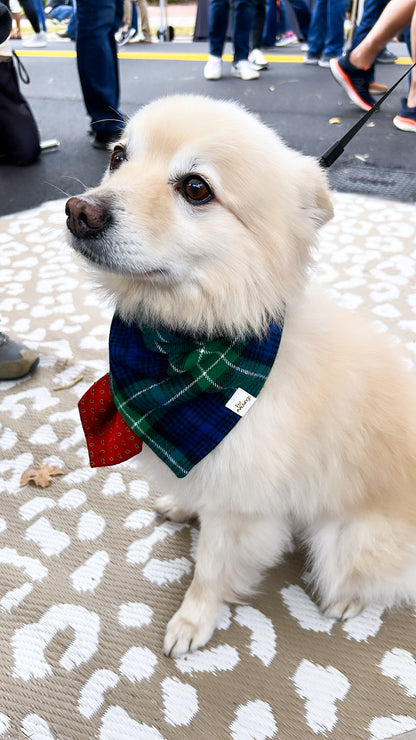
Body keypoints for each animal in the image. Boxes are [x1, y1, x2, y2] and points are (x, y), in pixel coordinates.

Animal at [66, 94, 416, 660]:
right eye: (118, 157)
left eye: (196, 188)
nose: (80, 210)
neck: (189, 345)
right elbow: (193, 494)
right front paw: (182, 505)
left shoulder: (242, 507)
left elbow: (211, 570)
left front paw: (193, 621)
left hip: (346, 545)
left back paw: (347, 601)